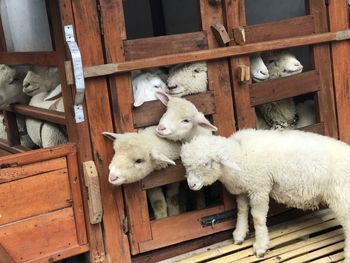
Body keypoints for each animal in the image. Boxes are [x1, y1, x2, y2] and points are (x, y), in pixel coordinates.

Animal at [180, 128, 350, 262]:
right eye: (186, 165)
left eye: (206, 163)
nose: (191, 185)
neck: (240, 154)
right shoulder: (244, 189)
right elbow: (242, 210)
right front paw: (240, 234)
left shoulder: (259, 187)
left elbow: (257, 217)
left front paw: (260, 246)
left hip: (342, 197)